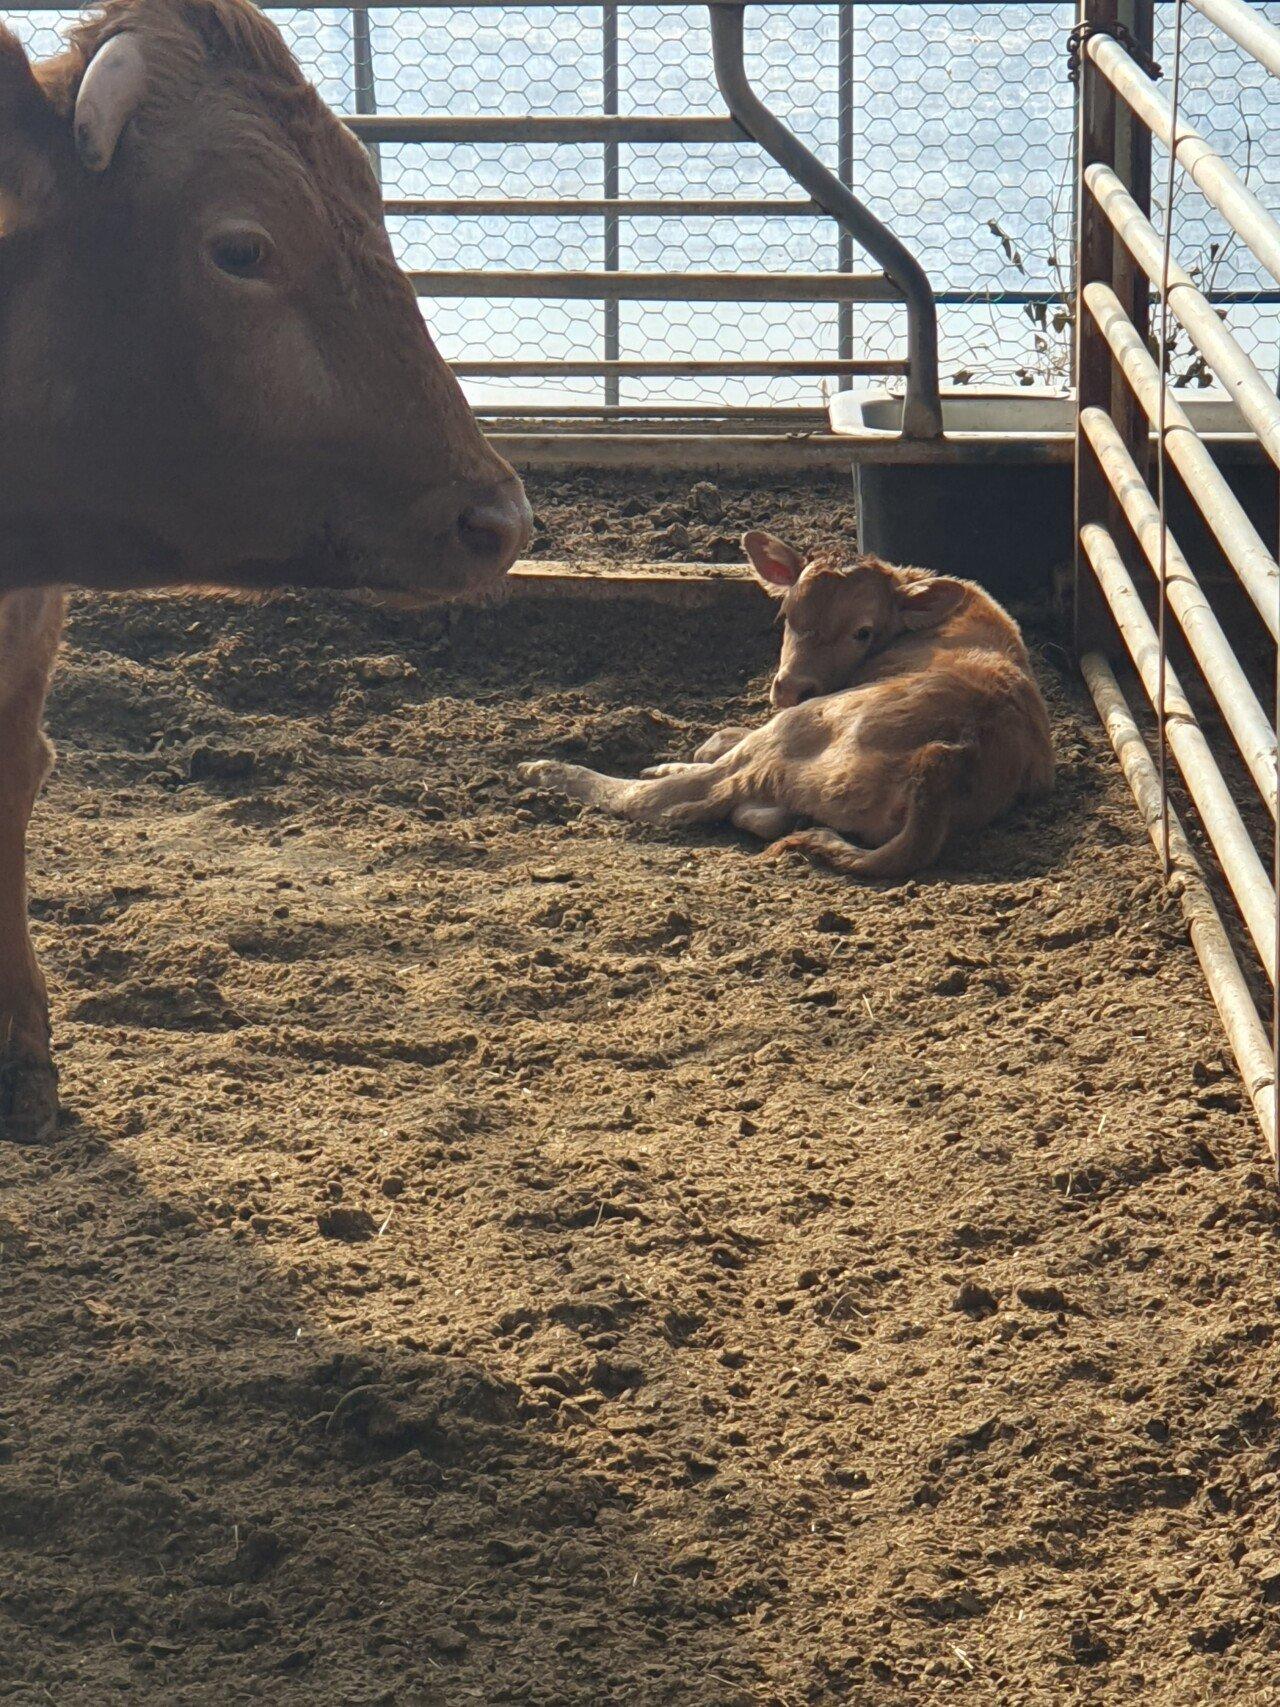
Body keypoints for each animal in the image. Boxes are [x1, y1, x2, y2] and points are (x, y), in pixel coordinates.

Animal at [515, 529, 1058, 880]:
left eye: (863, 631)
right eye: (787, 615)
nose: (790, 687)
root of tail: (950, 756)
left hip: (791, 733)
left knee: (672, 799)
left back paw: (549, 770)